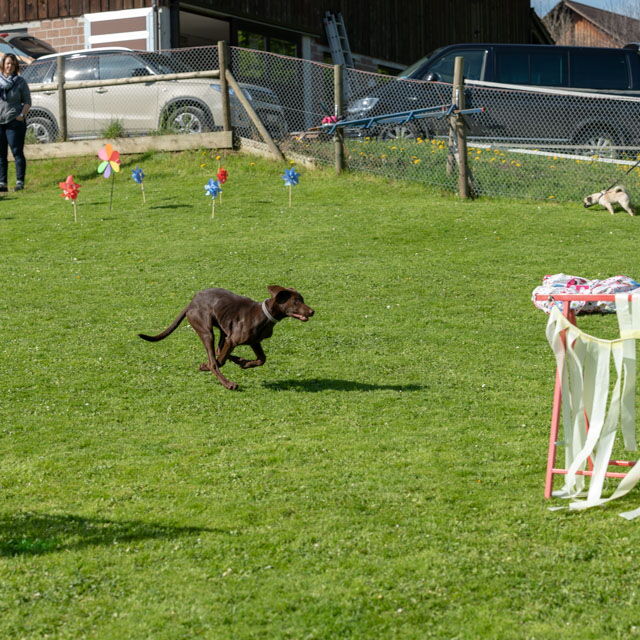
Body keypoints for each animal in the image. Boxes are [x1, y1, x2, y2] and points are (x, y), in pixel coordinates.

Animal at [138, 286, 314, 390]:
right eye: (296, 301)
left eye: (302, 300)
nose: (312, 312)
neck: (265, 315)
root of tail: (191, 303)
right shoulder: (233, 340)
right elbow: (219, 361)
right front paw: (211, 366)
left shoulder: (254, 342)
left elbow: (262, 359)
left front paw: (244, 363)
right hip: (207, 331)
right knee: (214, 361)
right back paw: (226, 382)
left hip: (223, 330)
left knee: (218, 351)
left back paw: (236, 360)